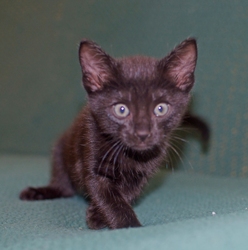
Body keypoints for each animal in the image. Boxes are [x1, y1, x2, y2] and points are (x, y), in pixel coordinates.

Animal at [20, 38, 203, 229]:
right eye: (121, 109)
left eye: (161, 109)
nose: (142, 133)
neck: (130, 156)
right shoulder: (90, 145)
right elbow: (105, 193)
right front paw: (128, 225)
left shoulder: (146, 169)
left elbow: (126, 193)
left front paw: (97, 215)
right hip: (61, 148)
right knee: (64, 186)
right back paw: (39, 192)